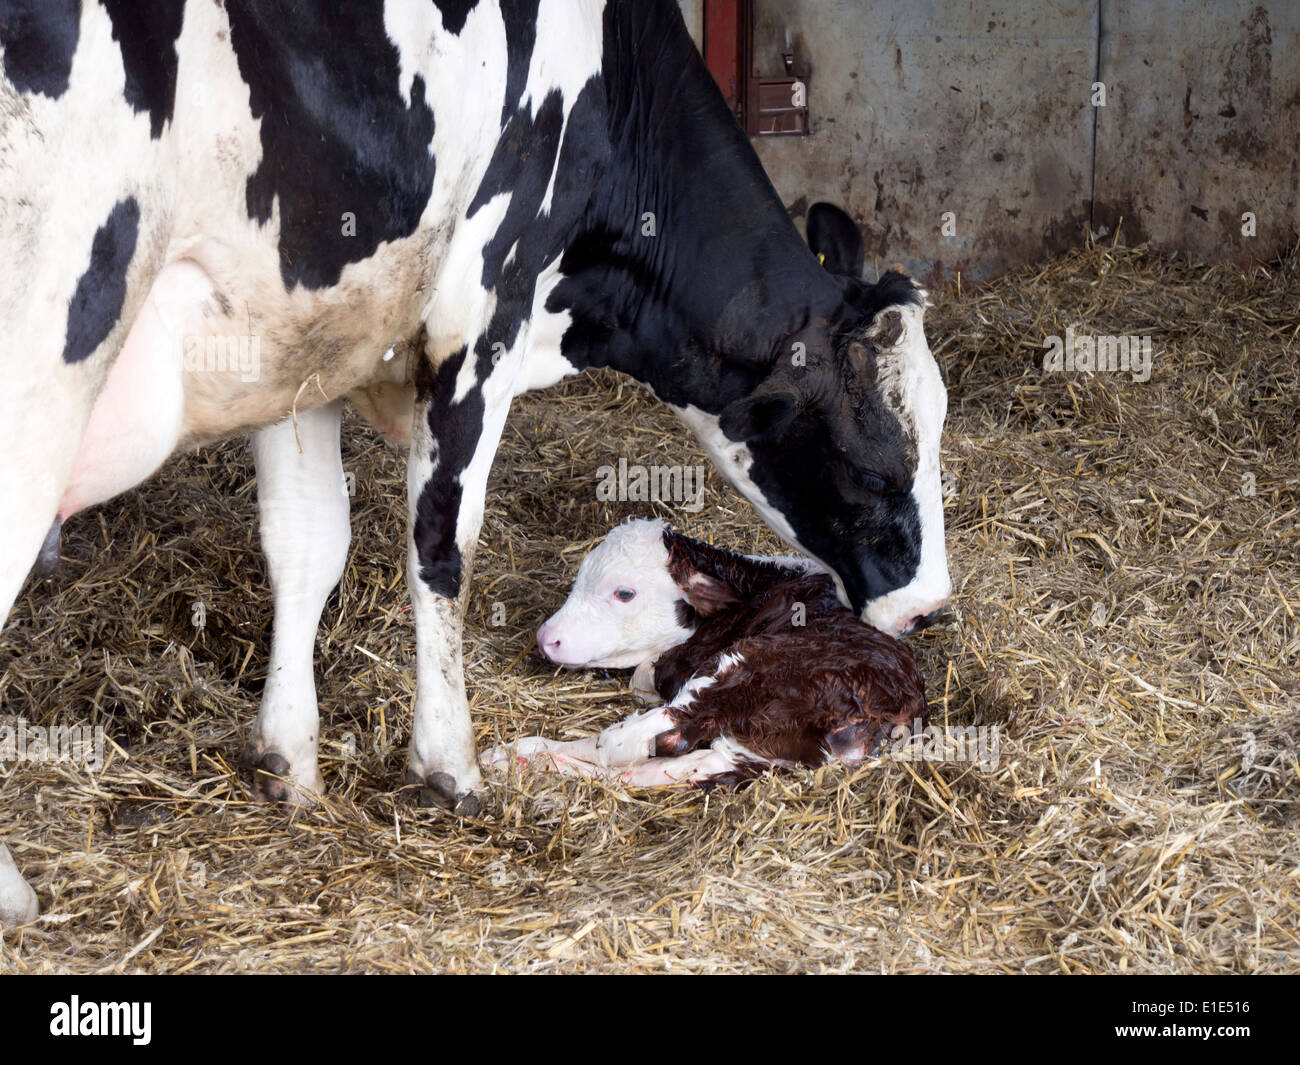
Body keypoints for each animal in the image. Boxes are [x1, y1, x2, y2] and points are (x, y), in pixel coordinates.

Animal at [483, 520, 930, 785]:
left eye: (625, 593)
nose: (546, 638)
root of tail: (894, 712)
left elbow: (644, 678)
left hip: (740, 671)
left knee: (635, 740)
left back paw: (515, 754)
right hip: (764, 749)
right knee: (674, 766)